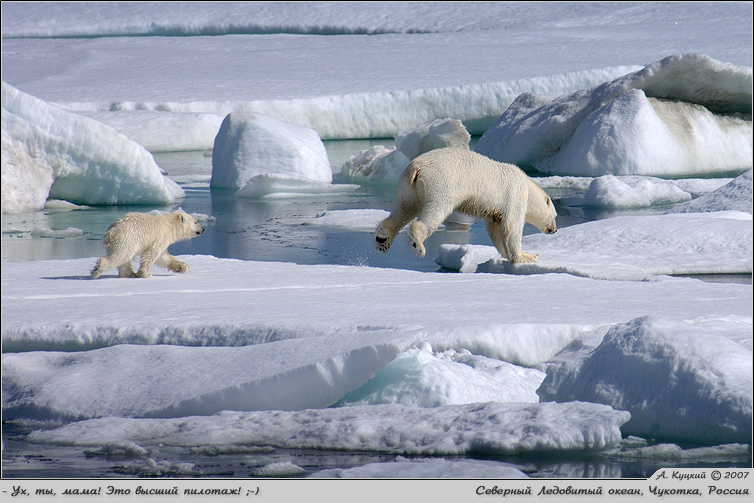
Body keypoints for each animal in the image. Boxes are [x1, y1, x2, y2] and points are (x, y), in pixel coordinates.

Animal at [374, 148, 557, 263]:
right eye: (555, 216)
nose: (554, 230)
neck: (526, 186)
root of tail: (417, 167)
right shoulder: (514, 196)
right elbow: (512, 227)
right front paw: (527, 256)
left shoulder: (493, 211)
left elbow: (495, 229)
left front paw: (508, 255)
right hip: (440, 183)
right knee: (435, 210)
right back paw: (417, 245)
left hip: (407, 186)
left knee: (403, 209)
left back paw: (382, 239)